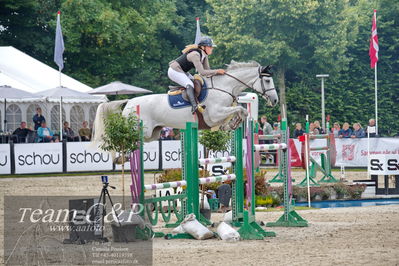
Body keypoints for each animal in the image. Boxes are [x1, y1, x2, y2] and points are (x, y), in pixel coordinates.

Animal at [94, 61, 280, 142]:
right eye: (268, 80)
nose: (275, 100)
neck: (224, 87)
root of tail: (129, 103)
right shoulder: (214, 114)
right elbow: (241, 110)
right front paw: (231, 125)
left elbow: (242, 111)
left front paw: (230, 125)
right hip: (141, 130)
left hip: (153, 134)